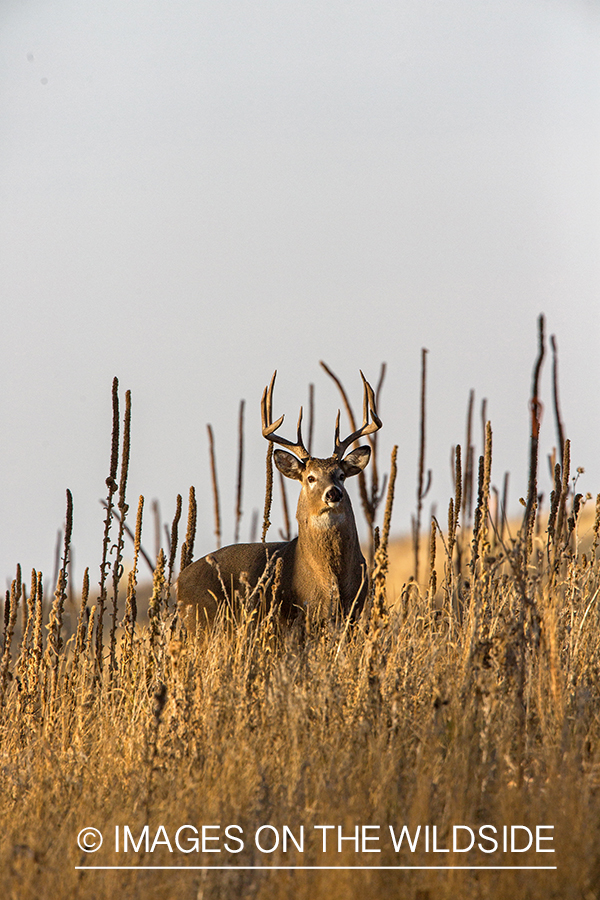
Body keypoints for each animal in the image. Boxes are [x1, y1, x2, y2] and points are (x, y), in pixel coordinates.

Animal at [176, 372, 382, 632]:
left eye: (342, 475)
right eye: (310, 477)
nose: (333, 494)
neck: (331, 579)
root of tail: (178, 582)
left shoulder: (353, 612)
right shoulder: (300, 617)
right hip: (203, 621)